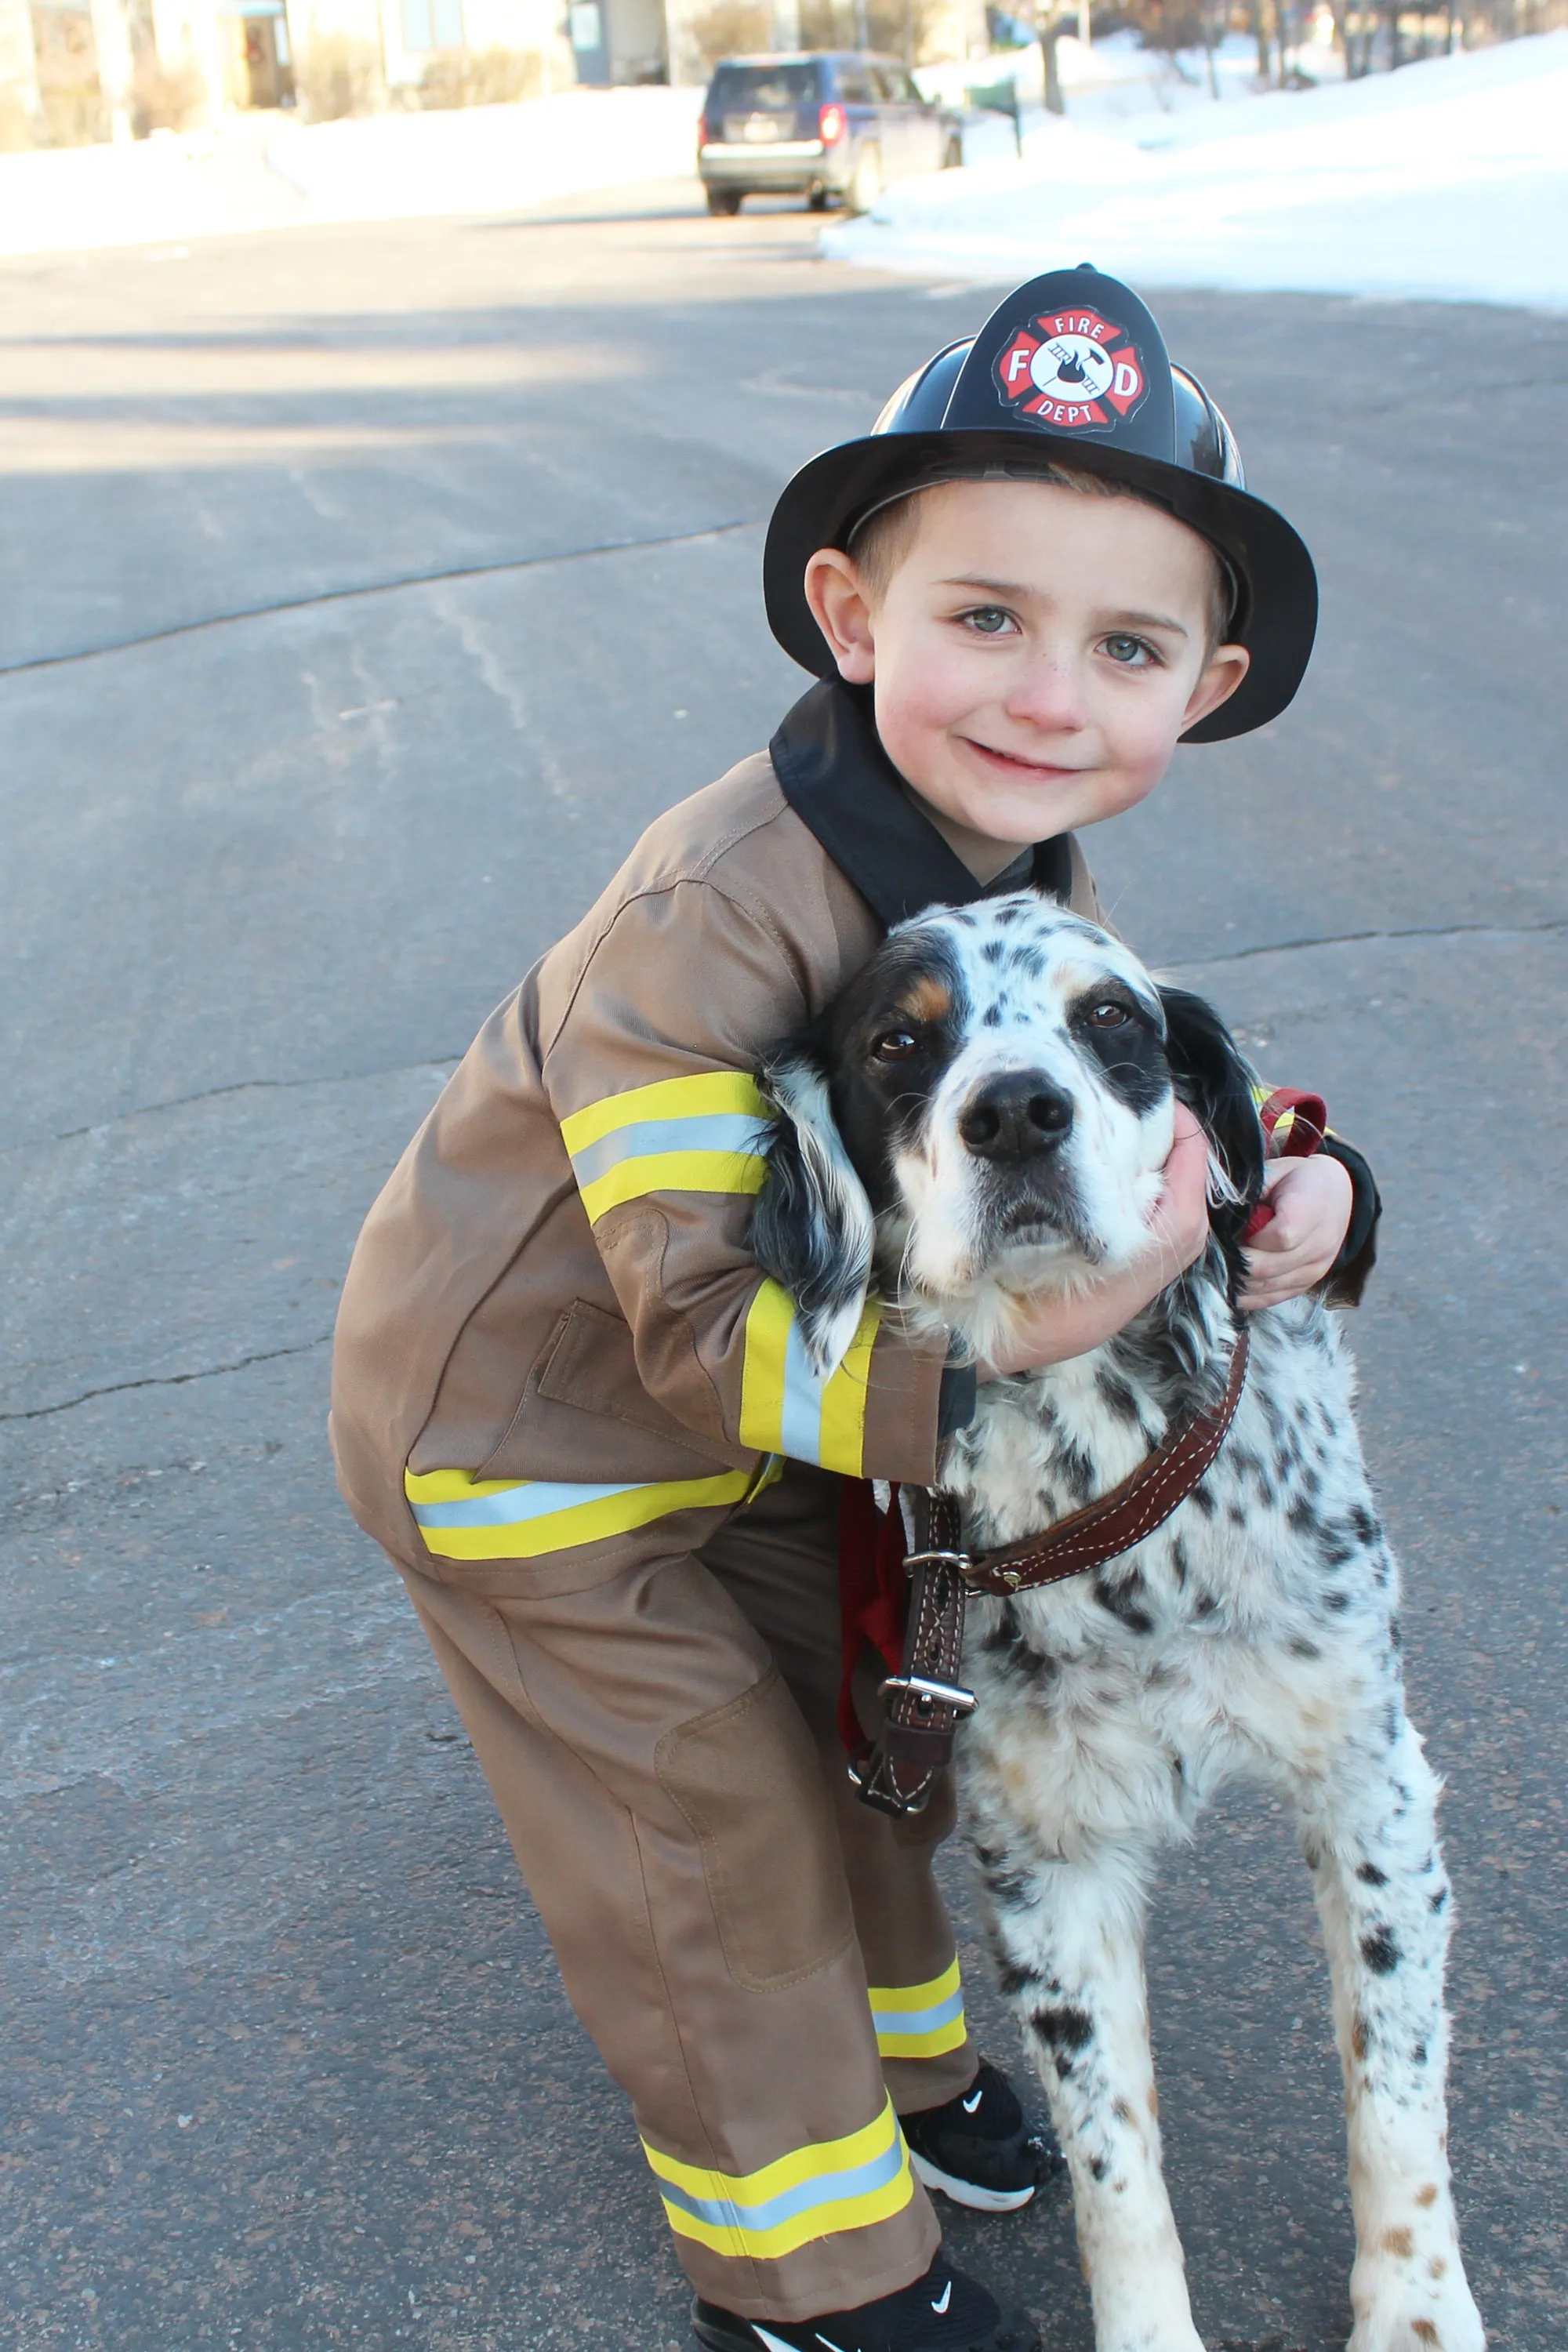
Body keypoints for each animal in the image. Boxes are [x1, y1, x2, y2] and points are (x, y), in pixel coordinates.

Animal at [752, 894, 1486, 2352]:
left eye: (1108, 1020)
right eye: (898, 1041)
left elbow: (1393, 2091)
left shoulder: (1369, 1783)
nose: (1017, 1115)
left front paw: (1418, 2310)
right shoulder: (1049, 1863)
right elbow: (1117, 2169)